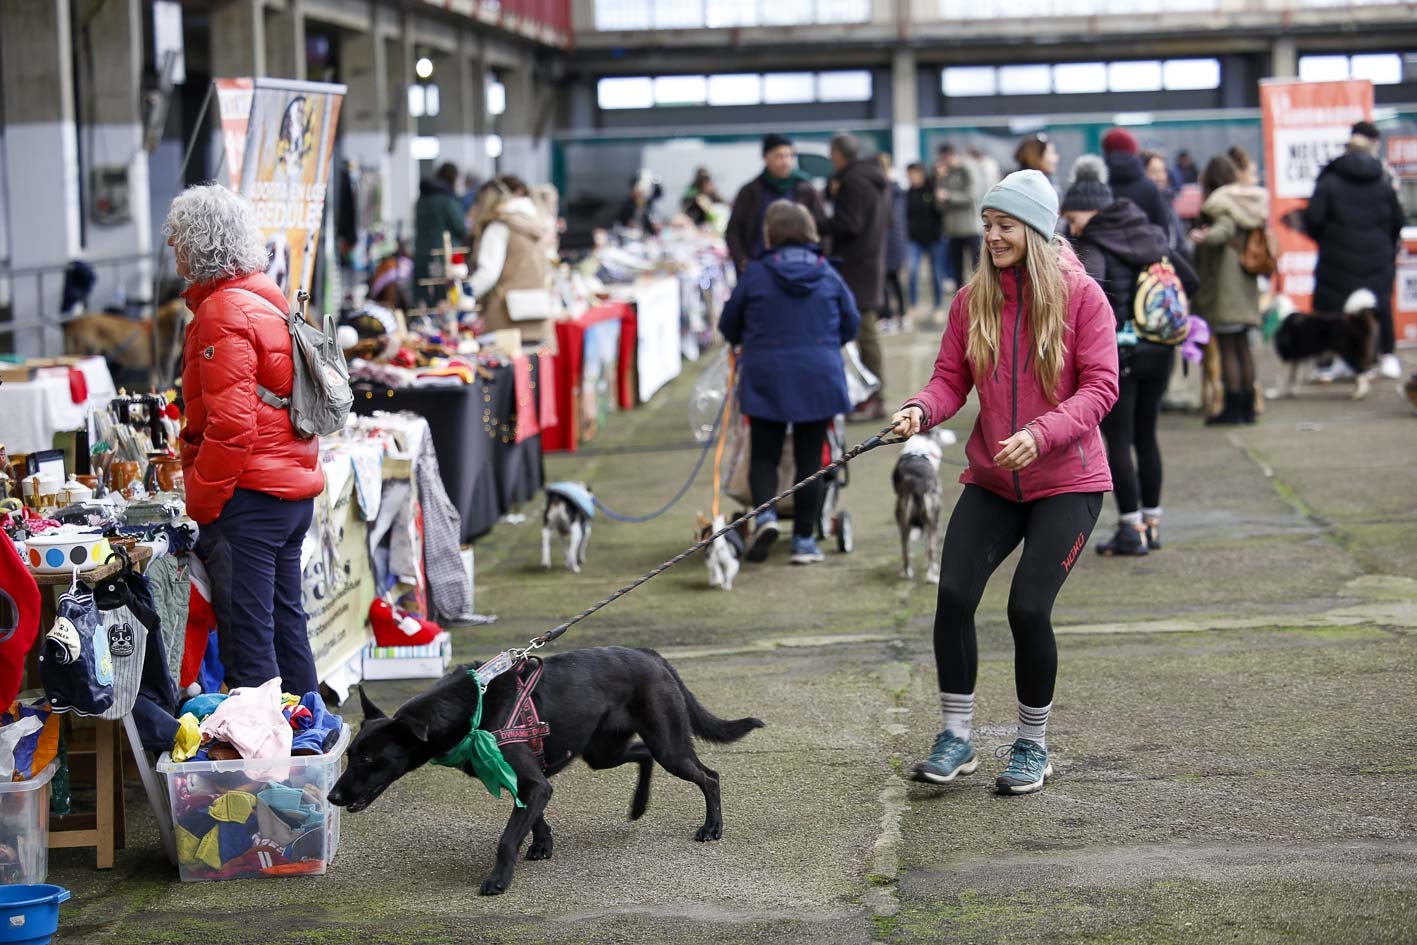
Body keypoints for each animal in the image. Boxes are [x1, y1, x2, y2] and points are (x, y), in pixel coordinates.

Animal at [327, 646, 765, 901]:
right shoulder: (529, 783)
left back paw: (712, 827)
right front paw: (542, 844)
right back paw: (639, 806)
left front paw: (499, 879)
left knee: (709, 776)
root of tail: (655, 658)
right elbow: (533, 817)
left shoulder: (533, 782)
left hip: (667, 744)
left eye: (368, 760)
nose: (332, 797)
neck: (467, 711)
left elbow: (507, 838)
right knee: (643, 756)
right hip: (602, 751)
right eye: (350, 755)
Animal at [889, 430, 957, 583]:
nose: (953, 434)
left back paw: (908, 573)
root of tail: (918, 484)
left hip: (904, 519)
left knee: (906, 548)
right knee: (930, 548)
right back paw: (930, 576)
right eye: (939, 432)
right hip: (933, 518)